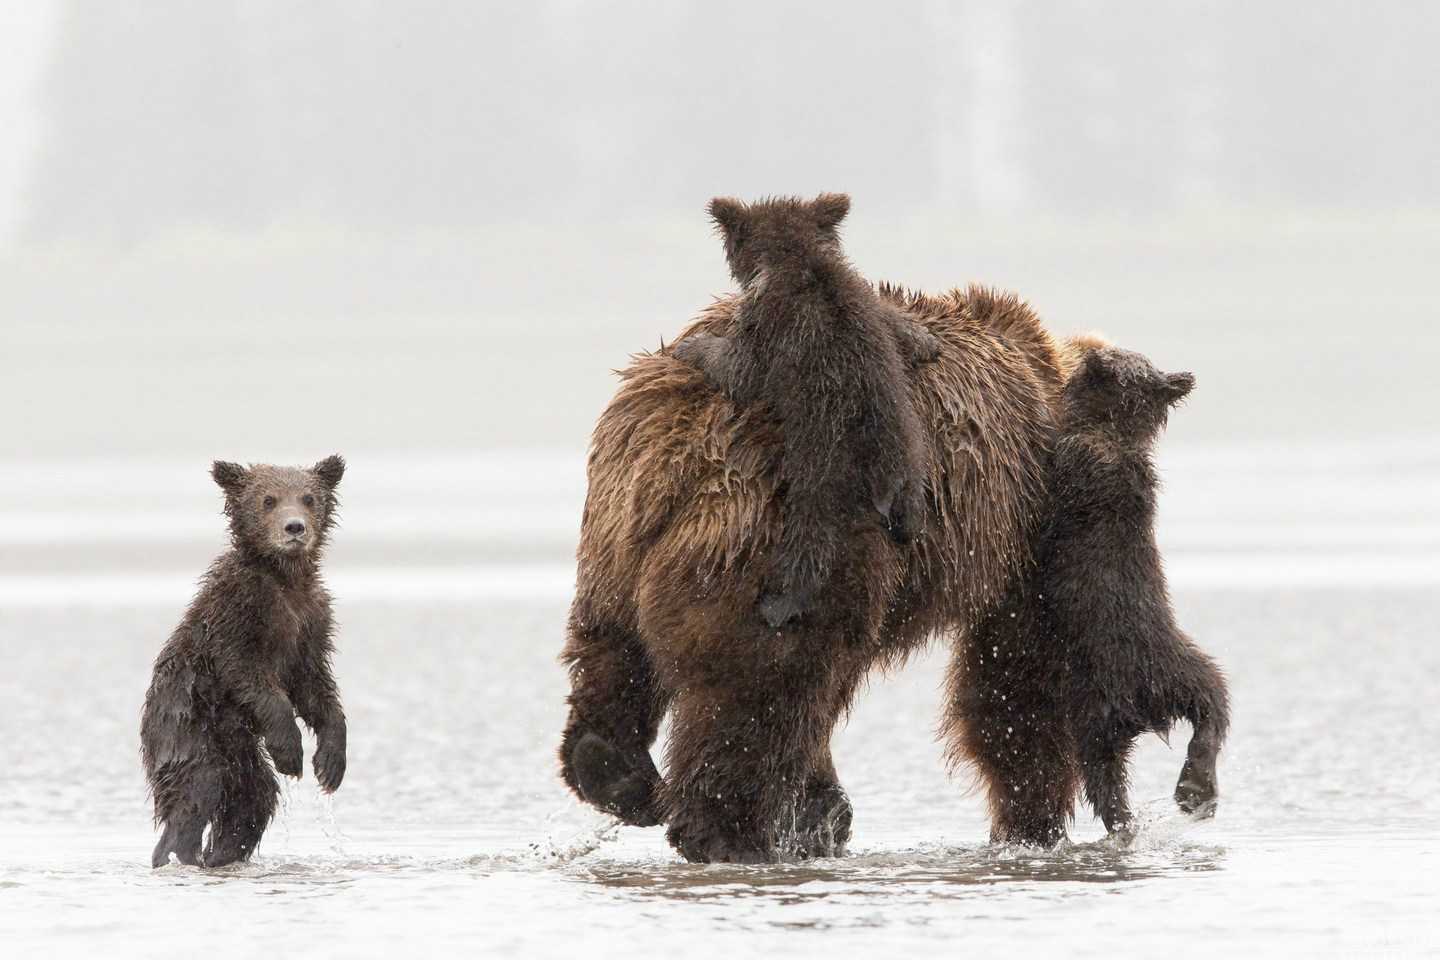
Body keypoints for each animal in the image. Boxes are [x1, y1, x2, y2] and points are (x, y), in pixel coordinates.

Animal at [140, 454, 348, 869]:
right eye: (268, 500)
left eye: (308, 497)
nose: (294, 527)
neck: (284, 580)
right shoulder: (238, 612)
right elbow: (248, 674)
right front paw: (291, 751)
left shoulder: (312, 623)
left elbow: (315, 687)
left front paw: (330, 762)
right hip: (188, 727)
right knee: (196, 791)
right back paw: (175, 854)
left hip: (239, 749)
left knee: (252, 798)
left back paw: (218, 855)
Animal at [950, 346, 1232, 846]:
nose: (1091, 352)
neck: (1110, 432)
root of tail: (1144, 707)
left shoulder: (1078, 471)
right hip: (1135, 689)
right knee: (1197, 707)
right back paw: (1179, 799)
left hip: (1116, 679)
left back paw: (1181, 795)